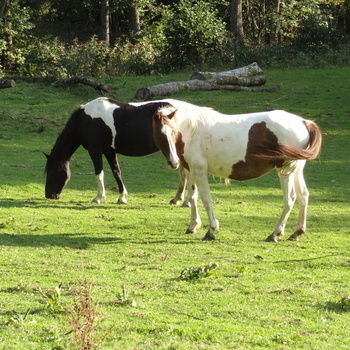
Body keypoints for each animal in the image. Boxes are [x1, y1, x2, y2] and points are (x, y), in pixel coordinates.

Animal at [45, 97, 191, 204]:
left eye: (51, 171)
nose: (48, 195)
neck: (85, 119)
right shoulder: (109, 151)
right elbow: (116, 172)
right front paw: (122, 197)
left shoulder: (94, 150)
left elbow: (99, 173)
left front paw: (98, 197)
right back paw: (178, 199)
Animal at [153, 100, 322, 242]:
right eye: (161, 134)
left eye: (173, 131)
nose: (173, 162)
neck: (193, 130)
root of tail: (304, 122)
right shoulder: (191, 170)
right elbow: (192, 197)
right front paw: (193, 226)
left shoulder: (200, 171)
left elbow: (206, 200)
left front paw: (211, 230)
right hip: (296, 170)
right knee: (303, 196)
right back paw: (297, 232)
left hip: (285, 171)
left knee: (290, 199)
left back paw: (275, 234)